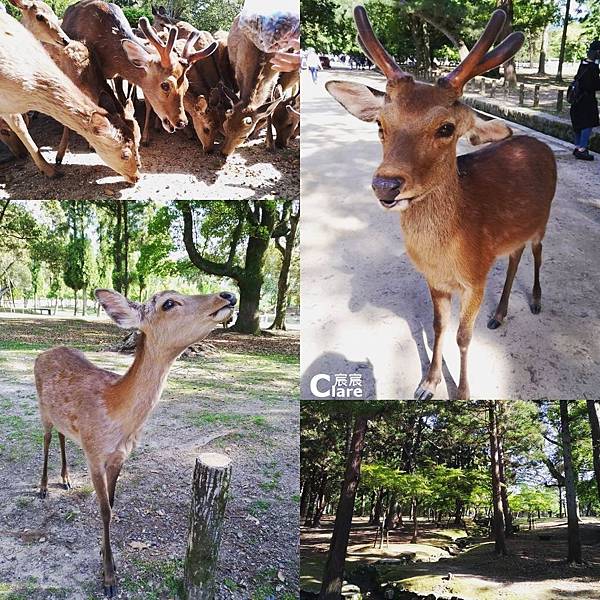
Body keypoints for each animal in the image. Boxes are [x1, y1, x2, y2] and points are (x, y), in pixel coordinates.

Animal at [34, 288, 237, 596]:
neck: (116, 413)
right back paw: (44, 488)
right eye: (168, 303)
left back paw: (66, 480)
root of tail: (42, 353)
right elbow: (104, 510)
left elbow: (113, 503)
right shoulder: (94, 453)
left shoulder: (120, 456)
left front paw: (105, 557)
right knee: (46, 437)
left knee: (61, 434)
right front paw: (109, 578)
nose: (227, 295)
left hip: (61, 418)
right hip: (43, 409)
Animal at [328, 7, 556, 400]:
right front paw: (427, 384)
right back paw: (499, 314)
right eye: (380, 124)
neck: (445, 254)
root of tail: (541, 145)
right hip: (514, 234)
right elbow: (437, 327)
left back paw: (537, 300)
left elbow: (463, 336)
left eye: (446, 128)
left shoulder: (476, 277)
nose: (386, 184)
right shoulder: (434, 280)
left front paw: (462, 393)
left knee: (538, 253)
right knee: (515, 257)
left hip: (543, 220)